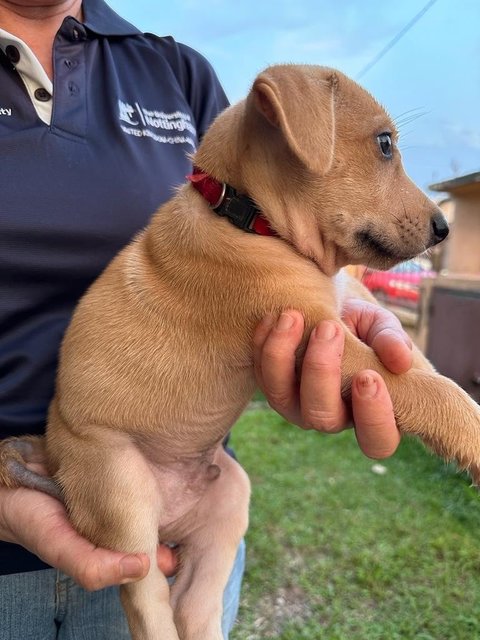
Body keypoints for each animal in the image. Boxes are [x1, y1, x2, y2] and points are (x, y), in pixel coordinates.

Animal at [1, 66, 478, 640]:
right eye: (385, 144)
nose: (444, 229)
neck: (246, 216)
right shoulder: (331, 341)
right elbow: (426, 389)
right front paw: (473, 438)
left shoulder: (346, 301)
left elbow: (421, 366)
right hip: (120, 494)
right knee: (148, 602)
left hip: (229, 495)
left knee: (193, 605)